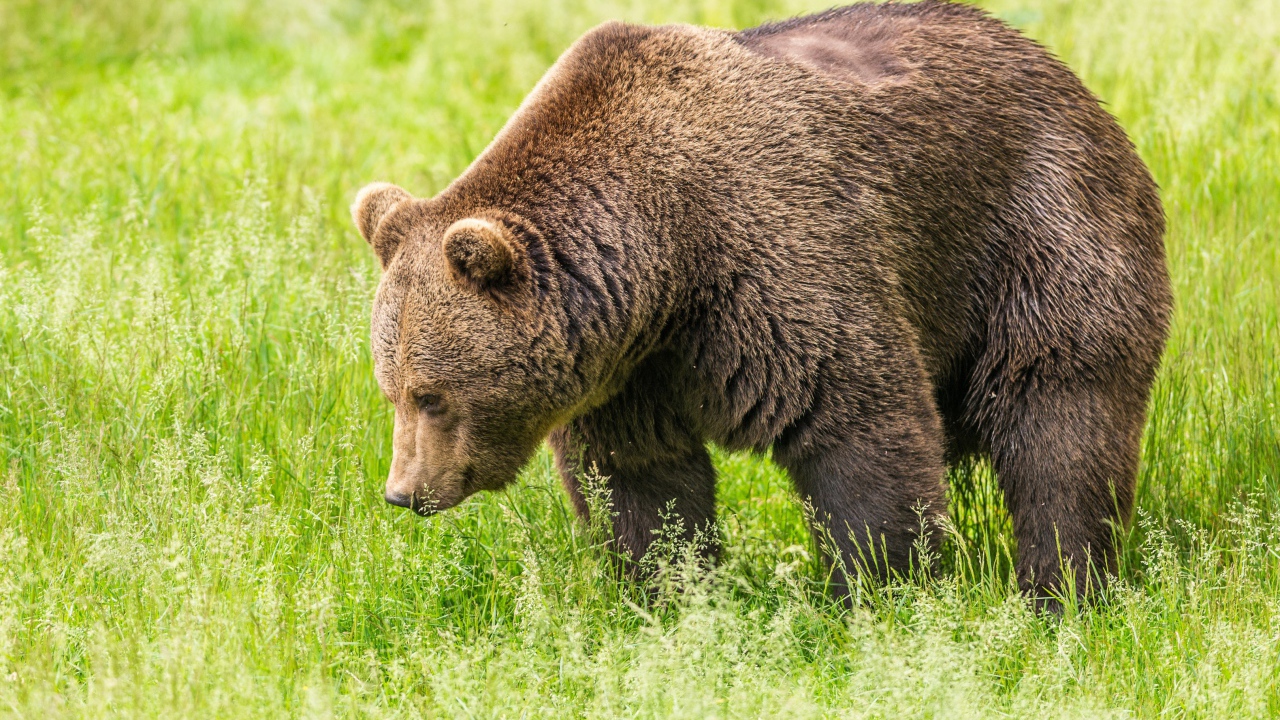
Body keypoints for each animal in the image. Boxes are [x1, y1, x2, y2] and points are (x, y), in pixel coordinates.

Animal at [351, 0, 1172, 606]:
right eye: (389, 389)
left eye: (430, 394)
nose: (404, 492)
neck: (665, 259)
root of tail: (1068, 77)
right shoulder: (628, 369)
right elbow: (642, 483)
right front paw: (670, 597)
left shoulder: (778, 262)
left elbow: (860, 426)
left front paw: (878, 592)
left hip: (1036, 235)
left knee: (1060, 418)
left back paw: (1060, 588)